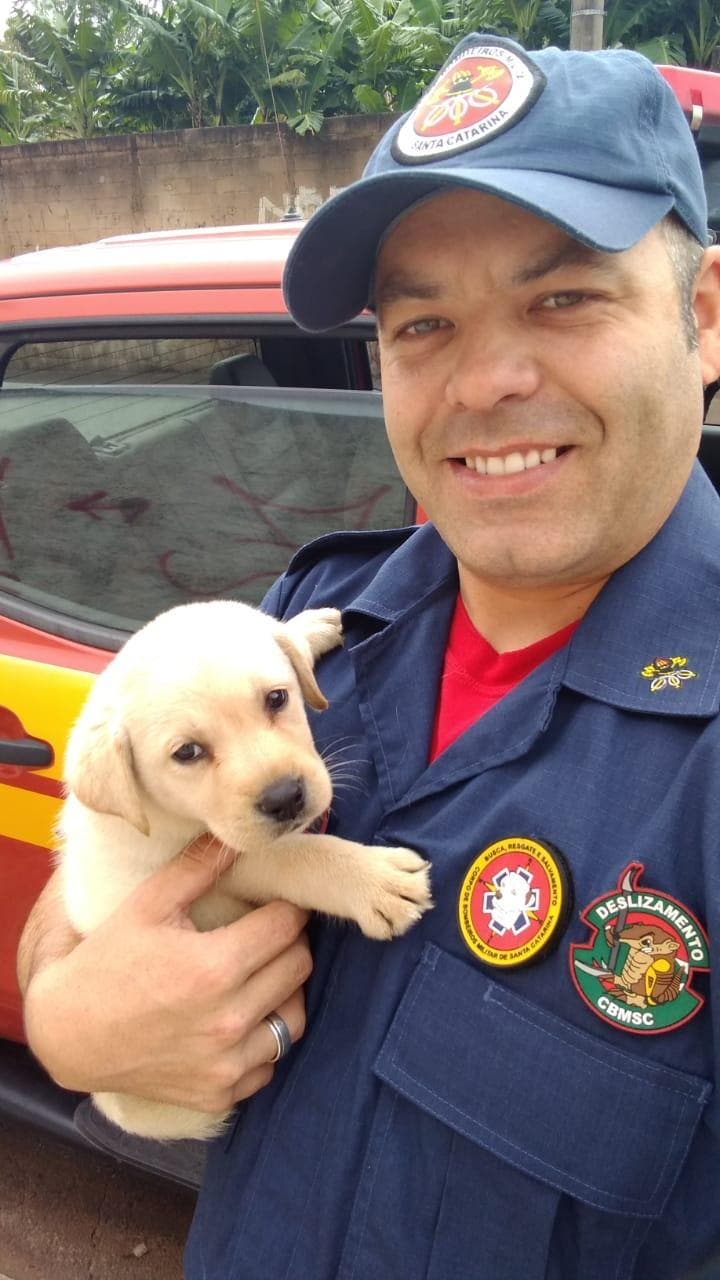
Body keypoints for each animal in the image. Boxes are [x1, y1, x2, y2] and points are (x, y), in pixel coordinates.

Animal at [57, 599, 425, 1141]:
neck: (169, 816)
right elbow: (296, 854)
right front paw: (375, 881)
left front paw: (306, 629)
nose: (285, 797)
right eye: (187, 753)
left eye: (277, 698)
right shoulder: (224, 858)